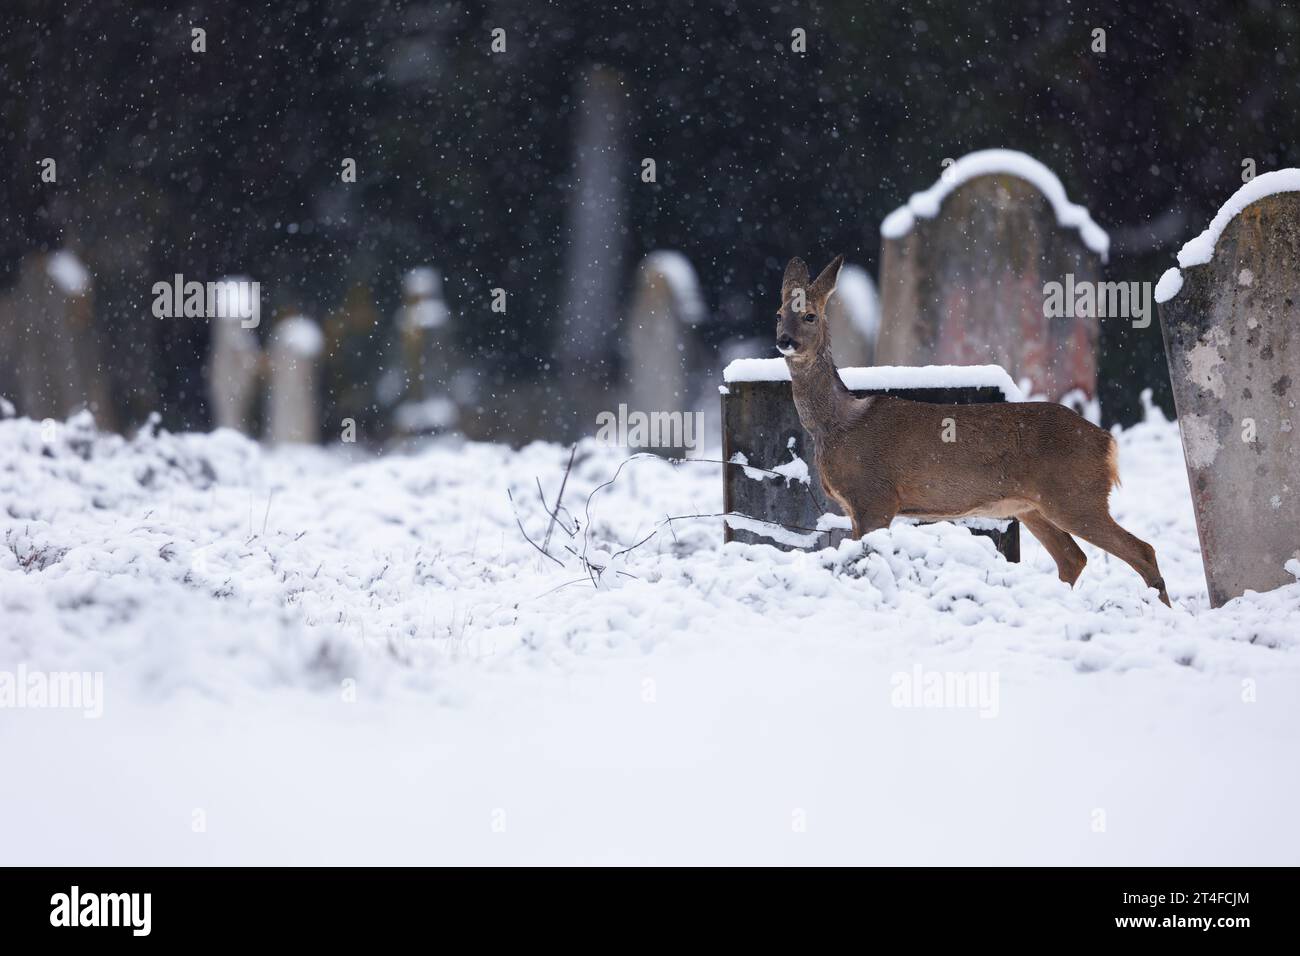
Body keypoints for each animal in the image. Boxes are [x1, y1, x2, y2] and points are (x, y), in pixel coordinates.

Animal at [775, 255, 1170, 606]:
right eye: (779, 313)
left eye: (810, 315)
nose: (784, 340)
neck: (837, 423)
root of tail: (1107, 442)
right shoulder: (857, 505)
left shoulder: (876, 495)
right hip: (1033, 506)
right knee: (1073, 558)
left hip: (1076, 494)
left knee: (1143, 550)